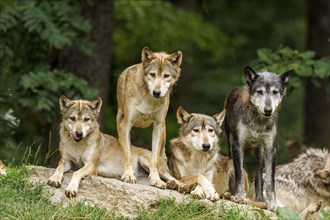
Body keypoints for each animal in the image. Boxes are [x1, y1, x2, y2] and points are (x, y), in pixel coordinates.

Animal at [47, 95, 180, 197]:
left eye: (86, 119)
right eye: (72, 118)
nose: (78, 133)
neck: (77, 146)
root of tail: (161, 157)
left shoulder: (91, 165)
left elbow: (76, 173)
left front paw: (71, 189)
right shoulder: (65, 161)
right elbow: (58, 168)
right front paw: (54, 179)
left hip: (147, 162)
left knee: (178, 181)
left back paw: (172, 185)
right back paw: (170, 185)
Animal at [116, 47, 183, 188]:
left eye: (166, 76)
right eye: (152, 74)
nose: (157, 92)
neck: (150, 100)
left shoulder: (157, 126)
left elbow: (154, 159)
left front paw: (156, 179)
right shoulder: (126, 124)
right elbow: (128, 154)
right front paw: (128, 175)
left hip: (163, 131)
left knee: (163, 159)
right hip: (120, 123)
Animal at [224, 65, 292, 210]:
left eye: (275, 92)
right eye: (260, 92)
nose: (268, 110)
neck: (258, 122)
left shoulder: (270, 149)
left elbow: (270, 182)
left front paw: (272, 203)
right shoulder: (237, 145)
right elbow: (239, 174)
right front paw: (240, 196)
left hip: (260, 154)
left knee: (259, 177)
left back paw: (260, 199)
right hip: (231, 146)